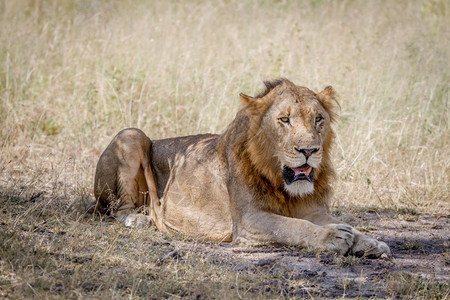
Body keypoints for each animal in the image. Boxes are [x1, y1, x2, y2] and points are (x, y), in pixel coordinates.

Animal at [94, 79, 390, 258]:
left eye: (318, 119)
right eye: (285, 120)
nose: (309, 151)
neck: (282, 182)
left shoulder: (314, 210)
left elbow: (343, 224)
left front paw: (370, 242)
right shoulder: (249, 220)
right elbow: (293, 227)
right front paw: (334, 236)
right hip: (132, 134)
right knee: (116, 209)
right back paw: (140, 218)